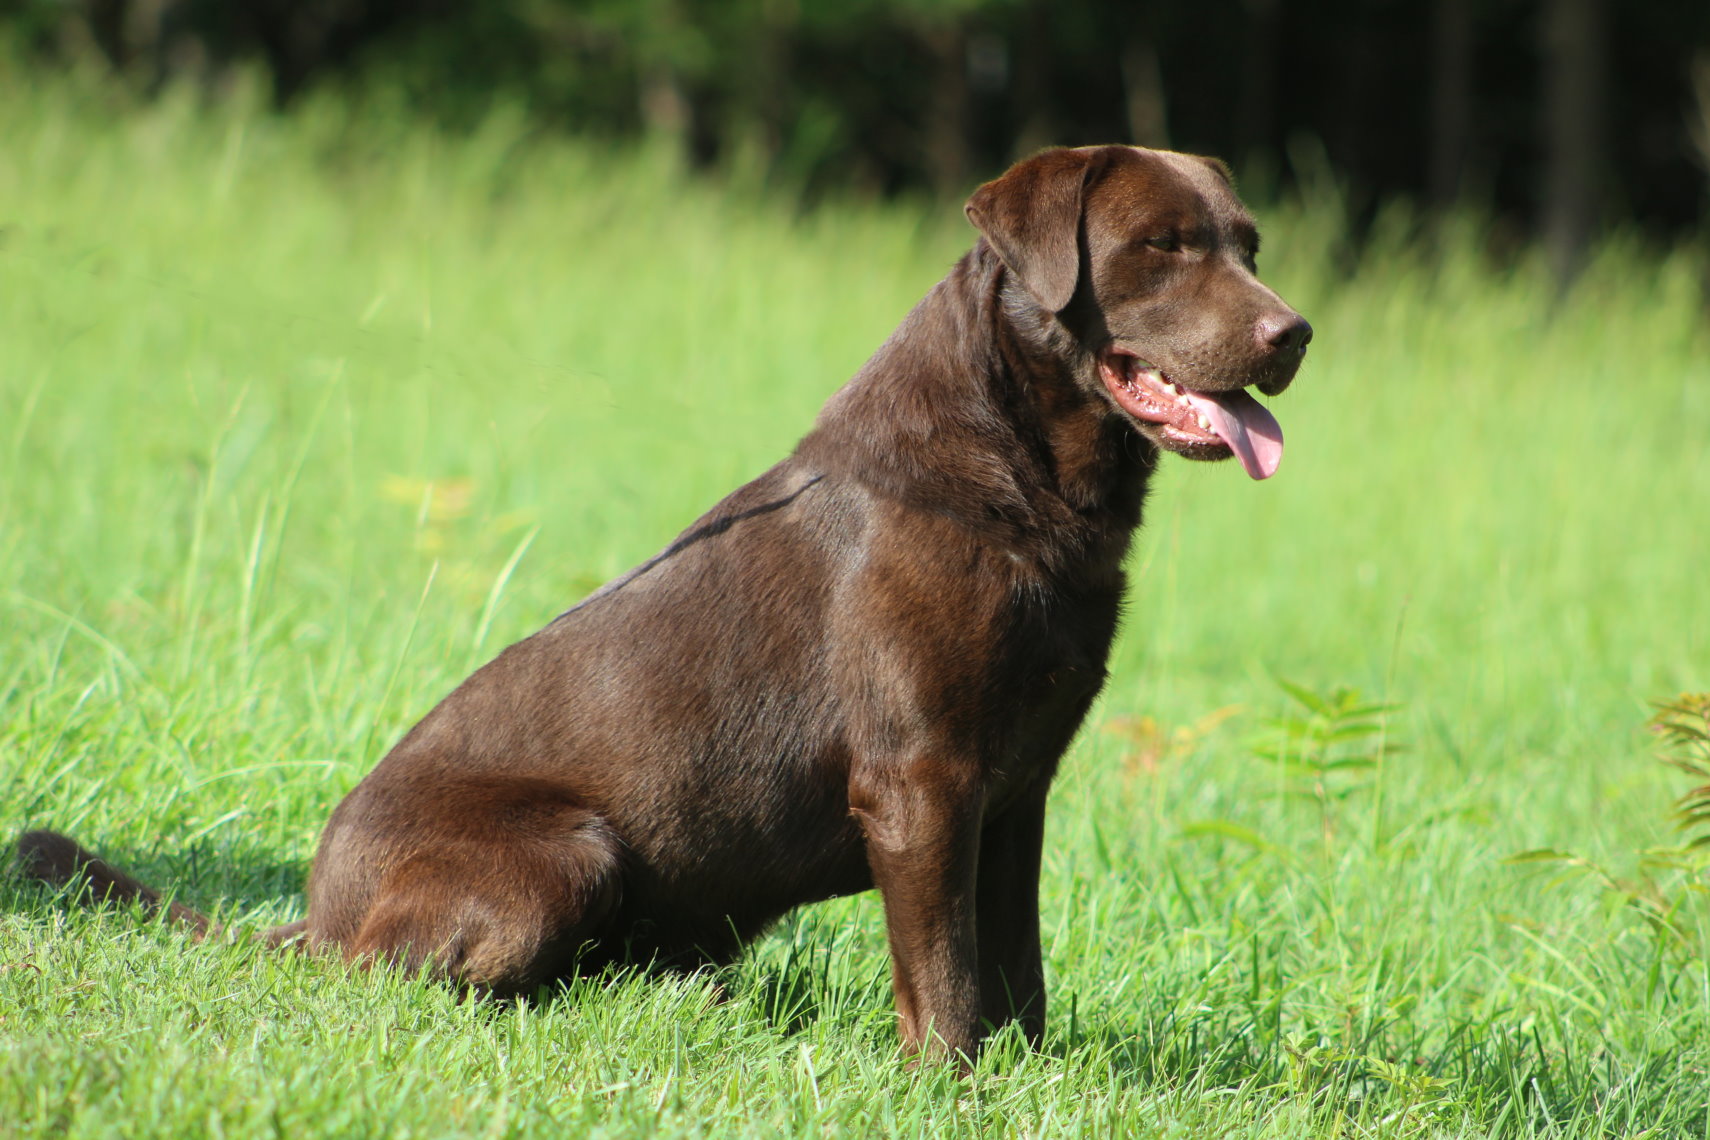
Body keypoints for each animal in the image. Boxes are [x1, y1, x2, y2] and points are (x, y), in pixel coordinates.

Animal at [20, 146, 1306, 1066]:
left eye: (1248, 245)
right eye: (1161, 247)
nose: (1292, 332)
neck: (1020, 482)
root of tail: (312, 907)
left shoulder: (1017, 788)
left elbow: (1017, 964)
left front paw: (1034, 1080)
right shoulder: (922, 779)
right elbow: (944, 971)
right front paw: (954, 1089)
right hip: (564, 853)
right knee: (395, 978)